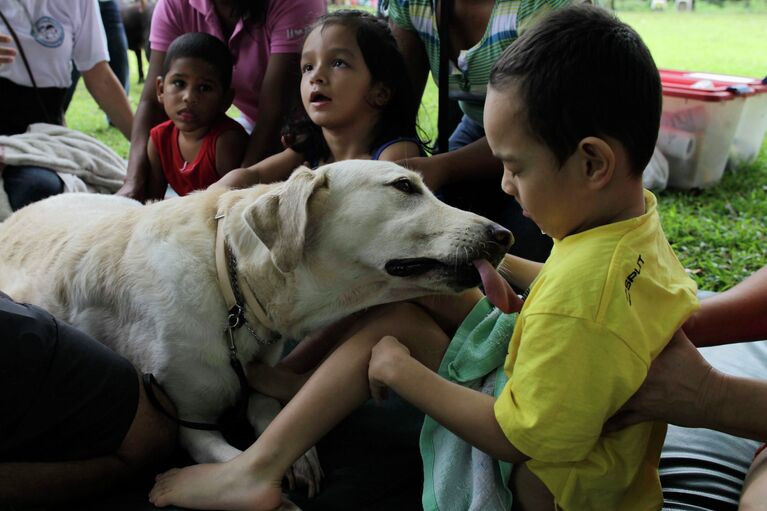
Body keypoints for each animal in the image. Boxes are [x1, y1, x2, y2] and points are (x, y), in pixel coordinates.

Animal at [0, 163, 512, 484]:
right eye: (404, 186)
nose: (504, 235)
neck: (232, 290)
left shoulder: (261, 372)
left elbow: (268, 408)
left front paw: (299, 457)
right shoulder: (188, 422)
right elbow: (229, 455)